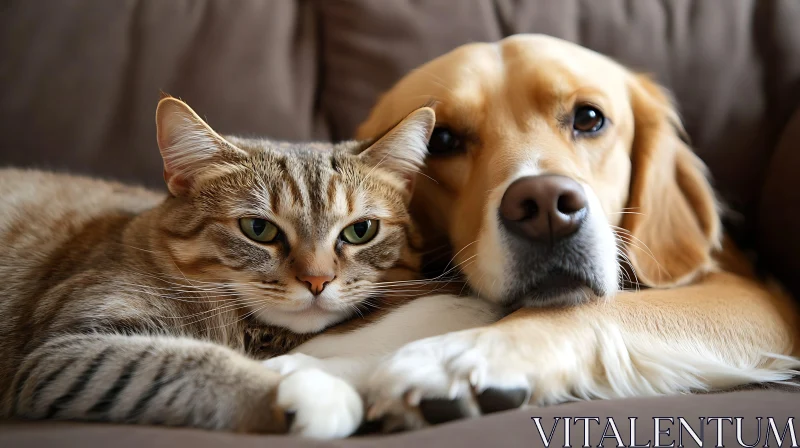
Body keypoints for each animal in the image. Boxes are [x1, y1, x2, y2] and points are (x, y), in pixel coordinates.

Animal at [0, 95, 438, 438]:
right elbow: (182, 359)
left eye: (361, 230)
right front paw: (310, 392)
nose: (317, 280)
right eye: (258, 229)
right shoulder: (61, 352)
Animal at [264, 36, 800, 438]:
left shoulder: (752, 296)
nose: (545, 207)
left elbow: (601, 308)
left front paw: (458, 359)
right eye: (442, 140)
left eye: (589, 118)